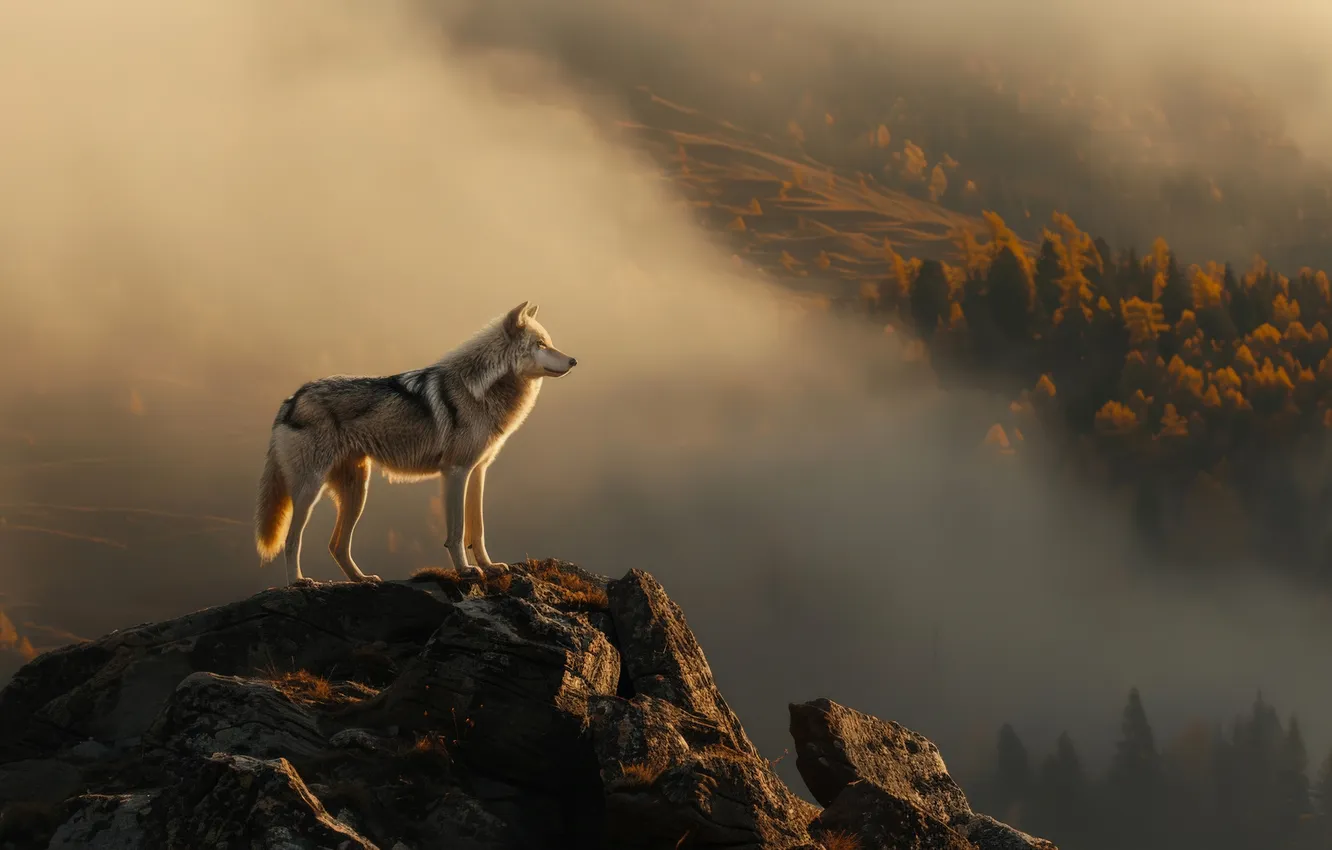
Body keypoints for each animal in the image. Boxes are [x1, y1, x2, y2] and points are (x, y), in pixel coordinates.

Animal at [253, 301, 577, 586]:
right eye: (541, 344)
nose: (574, 360)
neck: (481, 390)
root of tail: (291, 399)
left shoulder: (478, 471)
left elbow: (478, 530)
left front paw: (489, 566)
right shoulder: (456, 472)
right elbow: (457, 532)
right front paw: (466, 571)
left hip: (357, 491)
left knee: (336, 545)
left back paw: (362, 579)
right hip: (310, 491)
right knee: (292, 540)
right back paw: (299, 582)